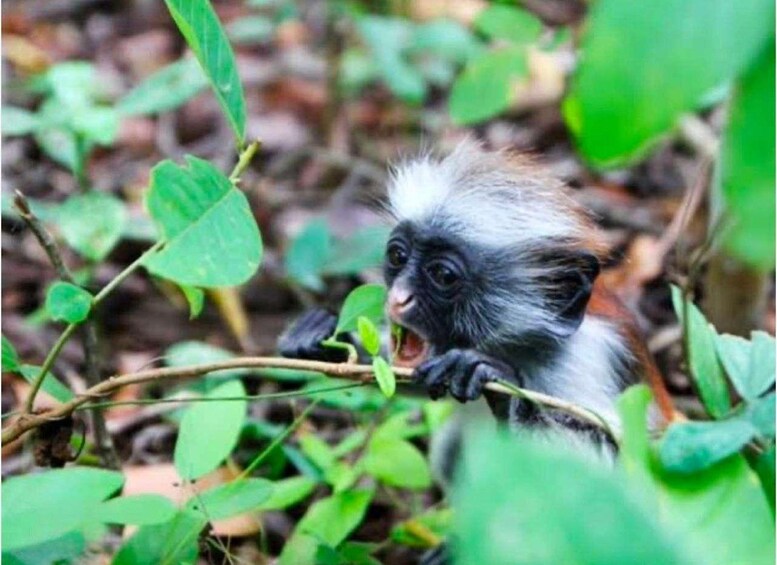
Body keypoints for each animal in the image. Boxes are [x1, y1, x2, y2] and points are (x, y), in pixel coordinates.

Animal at [278, 140, 675, 561]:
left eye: (442, 275)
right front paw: (326, 343)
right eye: (398, 257)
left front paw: (498, 382)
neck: (517, 346)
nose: (397, 298)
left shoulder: (591, 355)